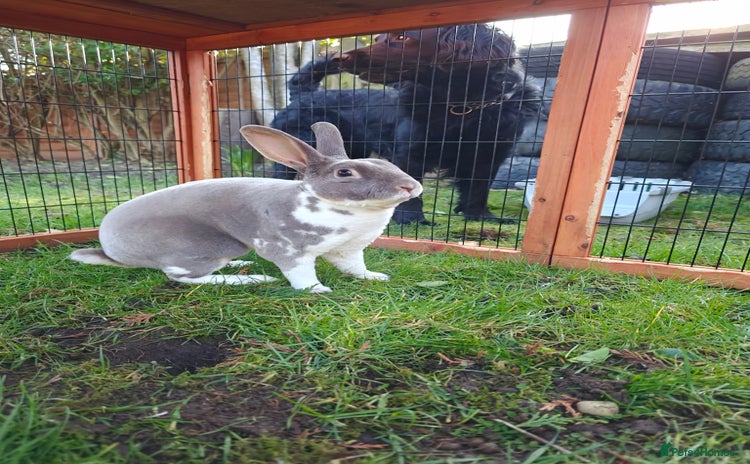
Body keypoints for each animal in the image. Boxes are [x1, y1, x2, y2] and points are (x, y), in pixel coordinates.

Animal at [69, 122, 423, 293]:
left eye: (385, 162)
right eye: (345, 173)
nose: (411, 186)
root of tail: (111, 251)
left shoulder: (347, 250)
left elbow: (355, 268)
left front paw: (377, 277)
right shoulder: (289, 251)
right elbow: (301, 275)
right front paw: (318, 290)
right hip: (207, 245)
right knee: (181, 277)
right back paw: (251, 279)